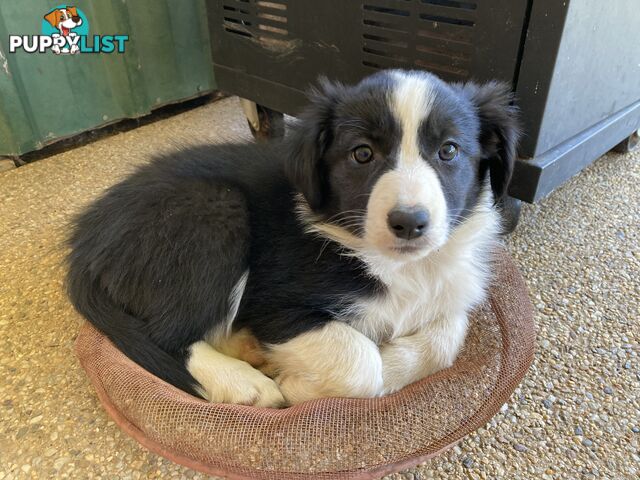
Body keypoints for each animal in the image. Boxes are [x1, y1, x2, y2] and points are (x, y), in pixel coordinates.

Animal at [67, 69, 520, 406]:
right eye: (362, 154)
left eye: (449, 150)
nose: (410, 223)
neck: (397, 266)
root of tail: (84, 241)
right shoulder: (274, 305)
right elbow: (361, 361)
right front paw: (299, 386)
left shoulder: (456, 286)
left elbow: (448, 335)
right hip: (214, 210)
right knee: (169, 337)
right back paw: (246, 382)